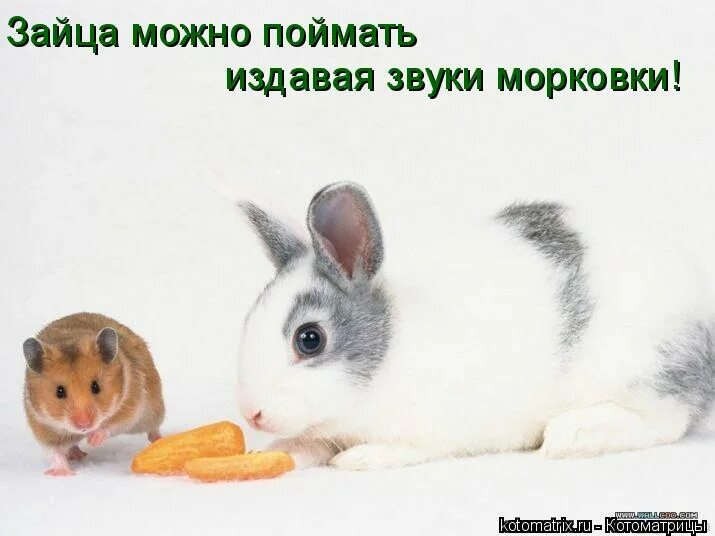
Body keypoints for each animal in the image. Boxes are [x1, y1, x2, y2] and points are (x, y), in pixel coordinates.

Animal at [236, 182, 715, 470]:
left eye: (309, 339)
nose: (252, 414)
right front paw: (275, 452)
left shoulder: (435, 427)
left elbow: (403, 447)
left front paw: (361, 458)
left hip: (640, 371)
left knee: (666, 421)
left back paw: (573, 435)